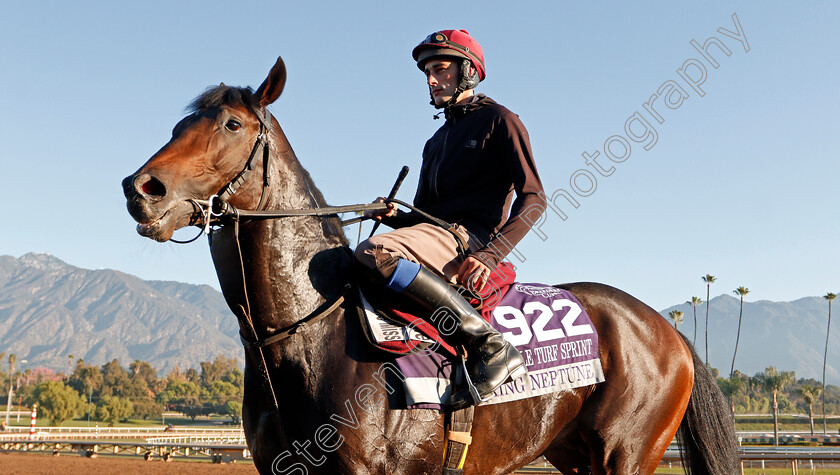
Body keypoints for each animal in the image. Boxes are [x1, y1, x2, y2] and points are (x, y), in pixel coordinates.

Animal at [121, 57, 740, 474]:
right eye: (179, 125)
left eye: (231, 124)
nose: (141, 189)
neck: (305, 334)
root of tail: (665, 329)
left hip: (628, 454)